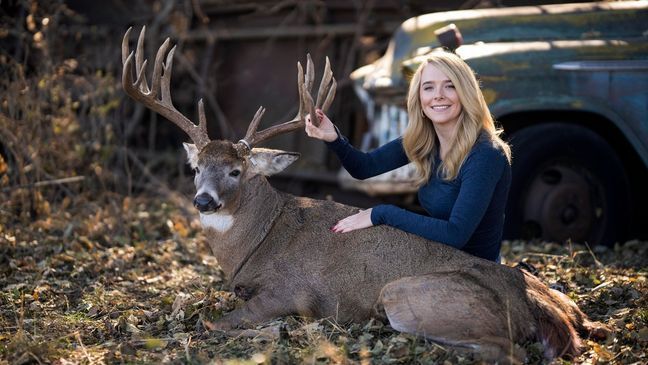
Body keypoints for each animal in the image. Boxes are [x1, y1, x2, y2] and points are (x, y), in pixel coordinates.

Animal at [120, 26, 608, 362]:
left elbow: (215, 323)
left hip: (405, 295)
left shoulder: (293, 292)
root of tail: (547, 311)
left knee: (508, 352)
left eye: (236, 171)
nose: (204, 200)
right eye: (196, 168)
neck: (256, 242)